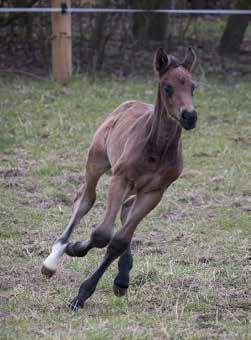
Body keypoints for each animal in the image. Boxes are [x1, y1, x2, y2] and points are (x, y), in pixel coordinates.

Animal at [41, 47, 198, 310]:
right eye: (167, 87)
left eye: (193, 87)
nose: (190, 116)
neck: (157, 148)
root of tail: (127, 104)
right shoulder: (120, 179)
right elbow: (103, 234)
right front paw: (75, 255)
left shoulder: (155, 192)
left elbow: (119, 240)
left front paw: (91, 290)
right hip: (96, 162)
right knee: (85, 200)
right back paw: (54, 259)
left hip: (135, 187)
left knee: (124, 210)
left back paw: (122, 276)